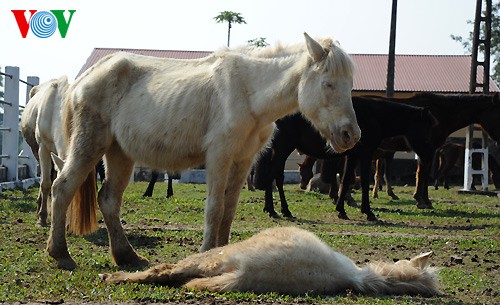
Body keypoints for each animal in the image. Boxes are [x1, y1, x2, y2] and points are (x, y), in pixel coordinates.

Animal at [47, 32, 360, 268]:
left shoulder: (243, 161)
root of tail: (83, 80)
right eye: (328, 83)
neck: (248, 93)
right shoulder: (219, 156)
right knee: (62, 188)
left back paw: (127, 257)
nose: (351, 135)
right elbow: (215, 208)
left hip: (119, 153)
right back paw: (61, 255)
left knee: (109, 199)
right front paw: (207, 252)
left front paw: (223, 251)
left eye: (349, 85)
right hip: (89, 145)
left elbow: (229, 210)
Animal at [254, 94, 438, 220]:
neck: (373, 115)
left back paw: (283, 210)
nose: (430, 154)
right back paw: (273, 210)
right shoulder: (365, 155)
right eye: (426, 130)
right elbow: (362, 181)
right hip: (283, 149)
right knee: (273, 175)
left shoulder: (352, 156)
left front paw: (341, 210)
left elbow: (345, 179)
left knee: (277, 177)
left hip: (282, 150)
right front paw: (368, 212)